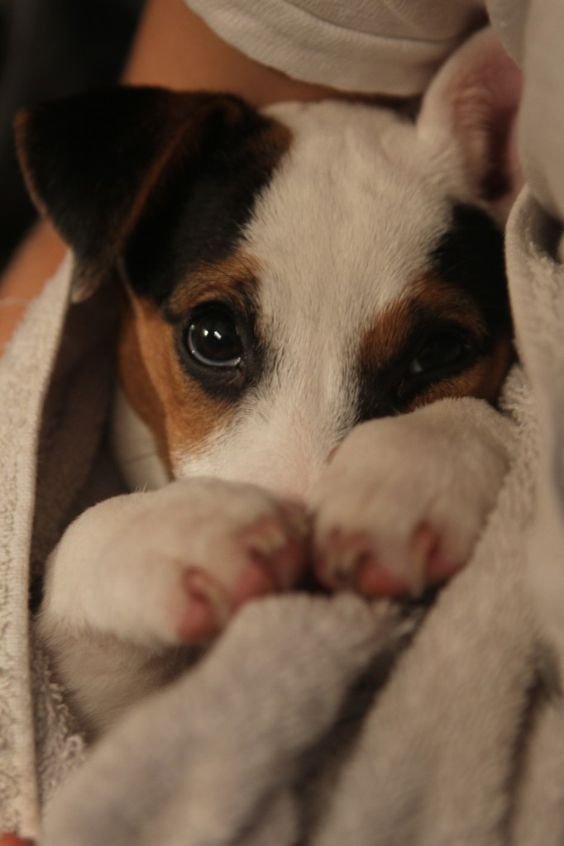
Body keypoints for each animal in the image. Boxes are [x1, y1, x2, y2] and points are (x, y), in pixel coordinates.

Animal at [16, 29, 520, 740]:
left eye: (441, 351)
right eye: (213, 335)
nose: (303, 595)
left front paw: (407, 473)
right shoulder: (102, 714)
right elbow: (80, 539)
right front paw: (188, 528)